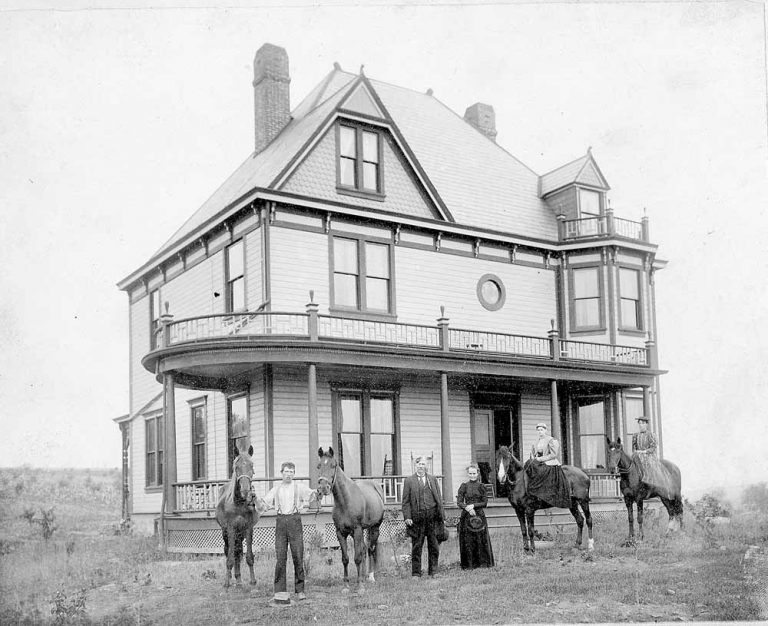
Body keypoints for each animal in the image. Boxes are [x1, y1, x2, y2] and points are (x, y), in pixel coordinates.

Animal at [214, 444, 266, 584]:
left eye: (251, 465)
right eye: (236, 467)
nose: (245, 491)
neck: (239, 503)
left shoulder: (247, 528)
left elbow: (249, 556)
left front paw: (253, 581)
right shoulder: (231, 528)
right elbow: (230, 557)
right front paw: (227, 583)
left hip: (240, 533)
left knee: (238, 550)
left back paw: (238, 579)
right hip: (226, 532)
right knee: (229, 550)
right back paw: (233, 578)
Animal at [316, 444, 384, 584]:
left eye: (333, 465)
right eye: (318, 466)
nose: (323, 488)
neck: (345, 501)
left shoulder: (357, 530)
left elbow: (357, 557)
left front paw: (359, 581)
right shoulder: (341, 533)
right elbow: (345, 558)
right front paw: (346, 580)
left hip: (374, 528)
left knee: (370, 549)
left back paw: (370, 576)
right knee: (364, 549)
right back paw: (364, 575)